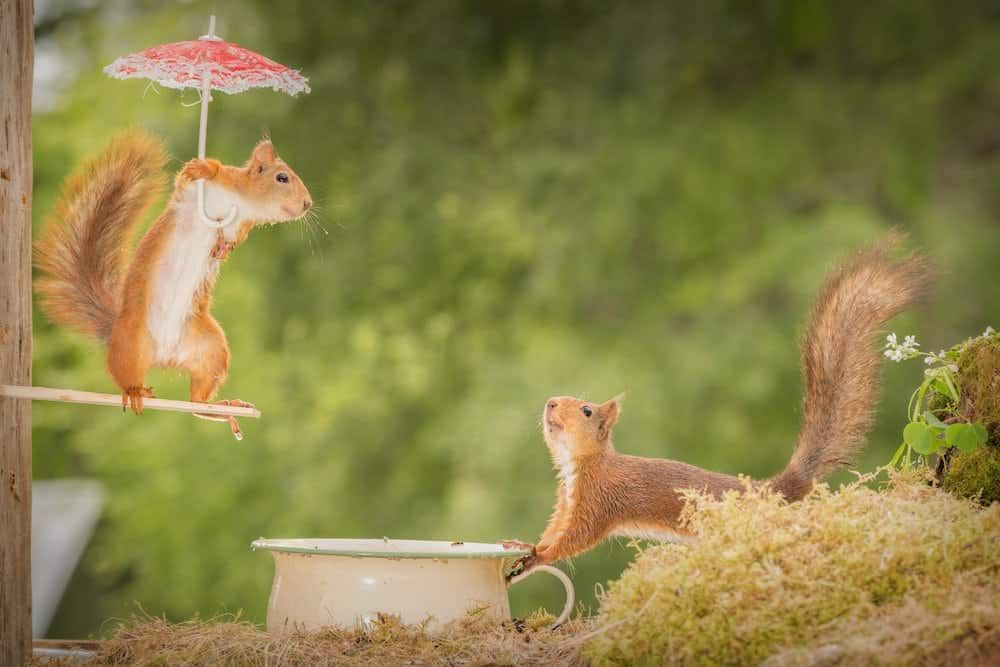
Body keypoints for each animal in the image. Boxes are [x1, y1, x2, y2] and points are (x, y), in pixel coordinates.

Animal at [37, 132, 312, 440]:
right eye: (282, 177)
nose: (307, 204)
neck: (240, 202)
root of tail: (166, 356)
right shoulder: (193, 194)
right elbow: (192, 178)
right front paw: (202, 167)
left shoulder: (239, 226)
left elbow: (232, 239)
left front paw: (222, 249)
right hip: (131, 342)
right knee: (125, 376)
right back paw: (135, 391)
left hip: (212, 349)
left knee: (196, 403)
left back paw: (226, 407)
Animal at [504, 239, 932, 576]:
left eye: (587, 411)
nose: (550, 402)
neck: (580, 465)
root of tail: (769, 491)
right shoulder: (567, 502)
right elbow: (555, 528)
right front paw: (524, 545)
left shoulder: (599, 502)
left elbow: (576, 538)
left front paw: (539, 557)